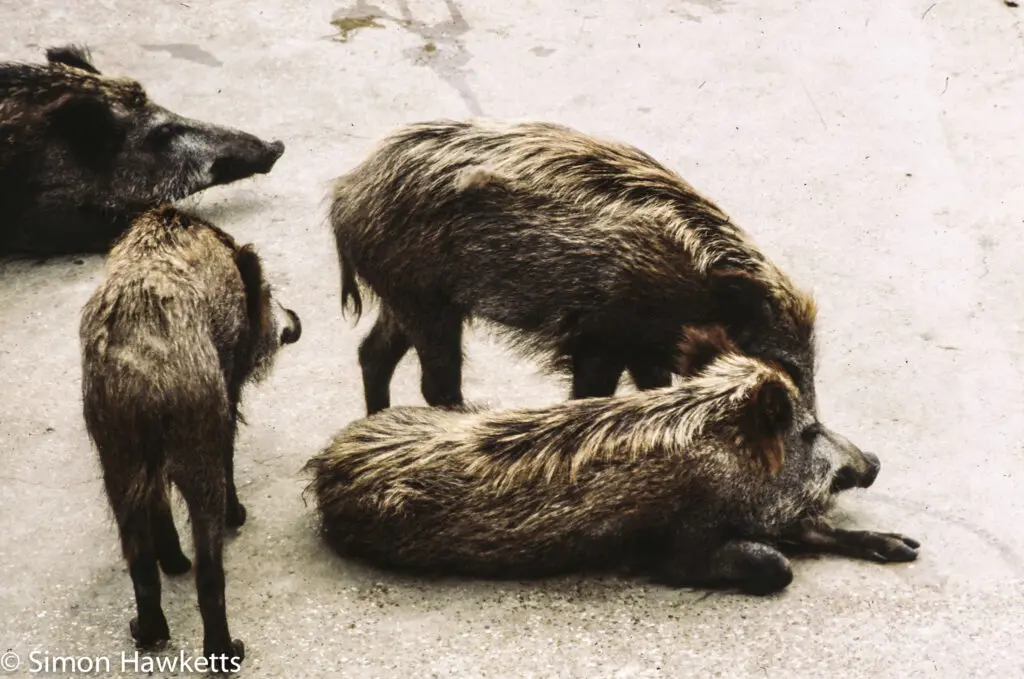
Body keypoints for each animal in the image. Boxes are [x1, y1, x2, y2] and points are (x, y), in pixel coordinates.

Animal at [79, 206, 301, 669]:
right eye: (267, 289)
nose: (290, 326)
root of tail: (144, 368)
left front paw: (173, 561)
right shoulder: (226, 395)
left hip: (118, 457)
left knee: (141, 559)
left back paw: (149, 630)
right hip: (197, 448)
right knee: (210, 571)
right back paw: (224, 652)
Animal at [304, 326, 918, 594]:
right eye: (809, 431)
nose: (876, 460)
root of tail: (324, 461)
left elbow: (814, 529)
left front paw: (906, 548)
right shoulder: (686, 539)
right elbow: (776, 563)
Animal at [330, 119, 817, 415]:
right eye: (784, 364)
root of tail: (346, 193)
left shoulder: (640, 346)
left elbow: (654, 385)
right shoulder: (600, 338)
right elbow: (593, 392)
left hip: (405, 296)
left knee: (373, 353)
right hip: (425, 301)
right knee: (436, 382)